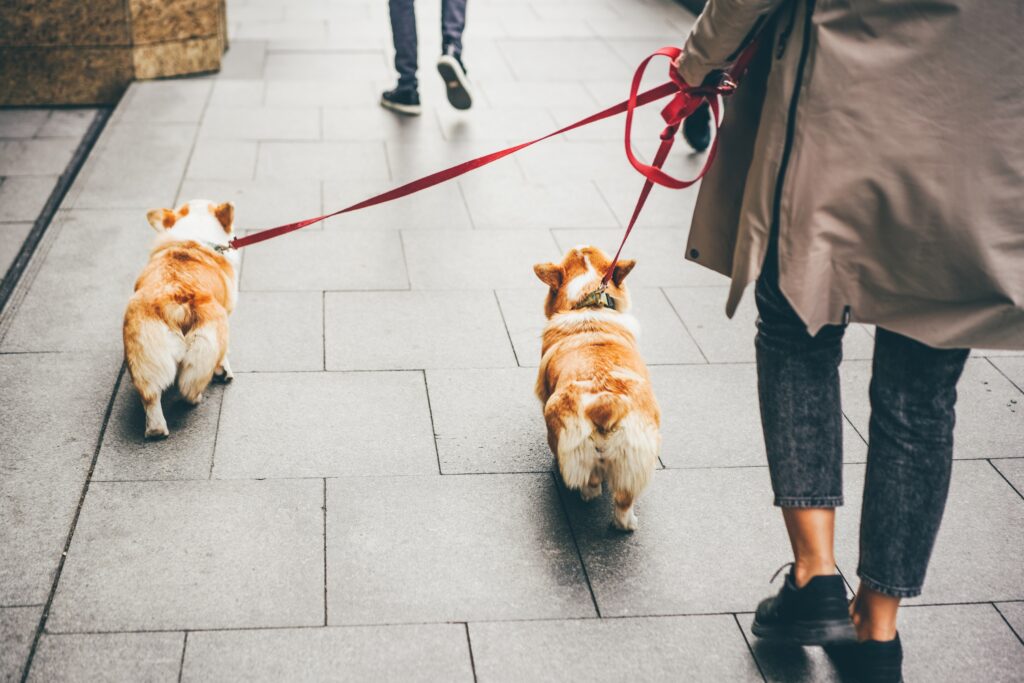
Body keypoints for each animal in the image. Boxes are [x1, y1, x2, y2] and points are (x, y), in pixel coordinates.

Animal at [122, 200, 239, 440]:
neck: (195, 233)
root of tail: (175, 302)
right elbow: (224, 356)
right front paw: (224, 370)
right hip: (209, 338)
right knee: (190, 386)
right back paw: (197, 397)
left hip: (143, 352)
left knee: (150, 396)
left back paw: (156, 430)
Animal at [532, 245, 659, 528]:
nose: (580, 246)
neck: (589, 302)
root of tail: (605, 404)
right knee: (623, 501)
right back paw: (628, 523)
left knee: (591, 484)